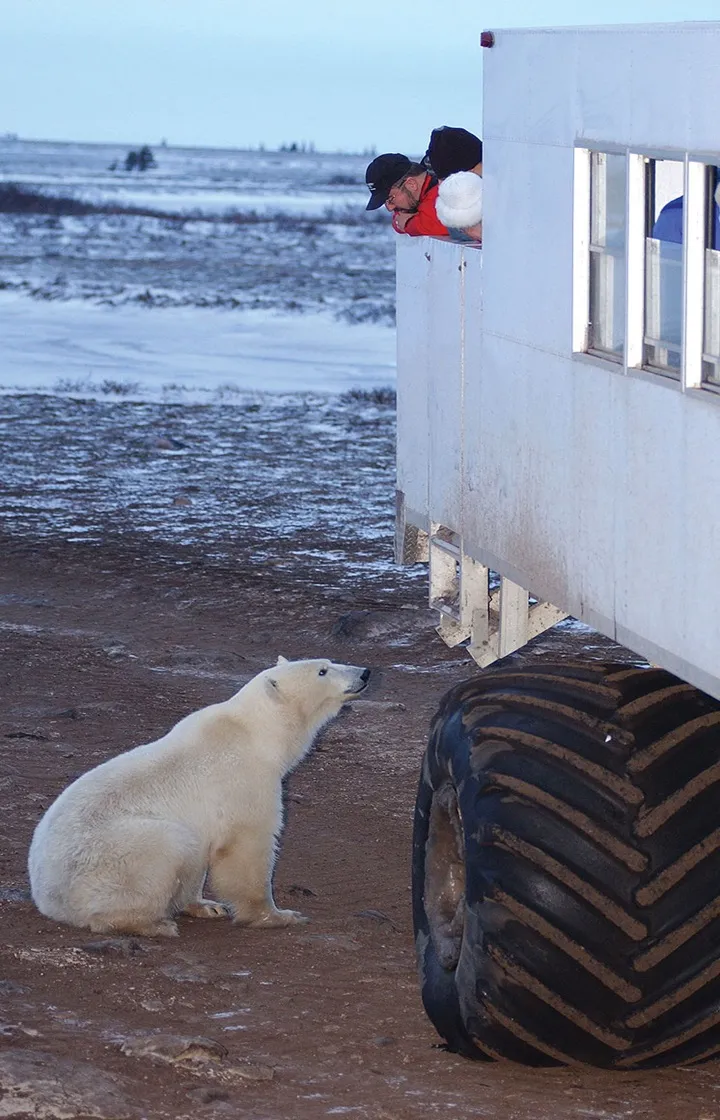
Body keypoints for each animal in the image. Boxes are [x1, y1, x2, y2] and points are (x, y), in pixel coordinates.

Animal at [28, 656, 370, 938]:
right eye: (323, 670)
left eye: (329, 662)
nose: (365, 672)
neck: (256, 733)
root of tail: (48, 899)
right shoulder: (245, 781)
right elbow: (249, 847)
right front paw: (278, 915)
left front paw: (207, 905)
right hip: (112, 856)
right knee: (167, 846)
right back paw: (152, 923)